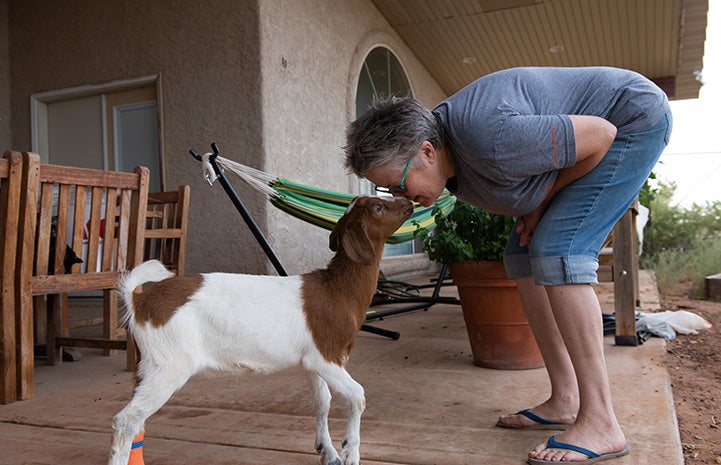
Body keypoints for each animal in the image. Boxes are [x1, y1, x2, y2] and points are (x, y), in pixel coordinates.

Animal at [106, 195, 410, 464]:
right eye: (378, 206)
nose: (408, 202)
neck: (338, 291)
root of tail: (139, 301)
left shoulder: (313, 361)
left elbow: (322, 402)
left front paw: (327, 452)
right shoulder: (327, 356)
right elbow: (357, 396)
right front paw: (349, 454)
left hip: (147, 367)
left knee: (137, 421)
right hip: (168, 365)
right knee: (126, 420)